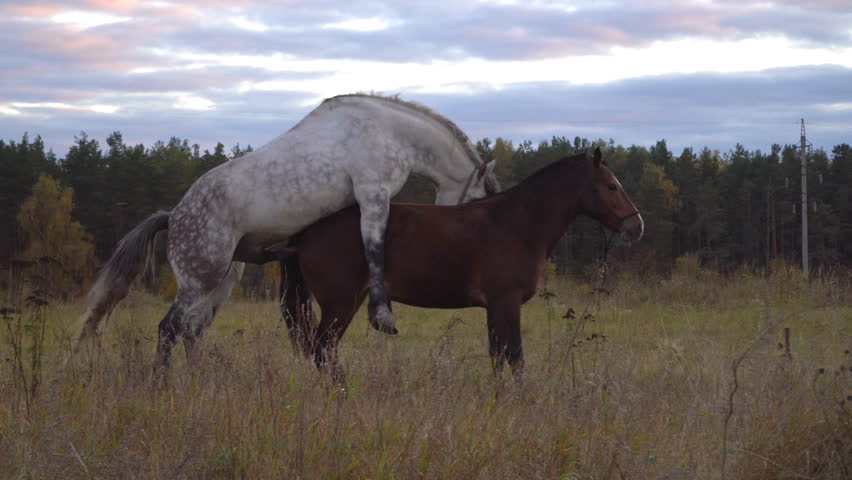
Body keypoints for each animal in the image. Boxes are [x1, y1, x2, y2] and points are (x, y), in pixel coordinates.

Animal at [276, 148, 644, 376]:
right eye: (612, 186)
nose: (636, 225)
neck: (516, 223)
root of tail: (306, 234)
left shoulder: (495, 307)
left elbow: (498, 356)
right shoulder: (506, 301)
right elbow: (515, 357)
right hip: (340, 304)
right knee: (323, 351)